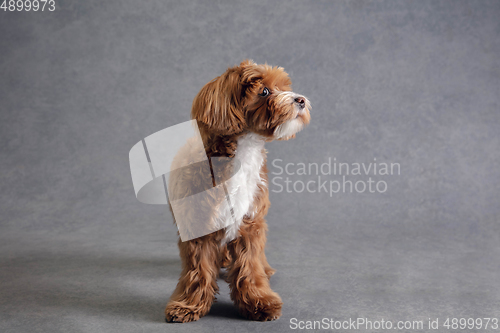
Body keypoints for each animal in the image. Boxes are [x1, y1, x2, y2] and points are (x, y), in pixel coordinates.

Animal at [166, 59, 310, 322]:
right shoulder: (197, 227)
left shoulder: (250, 223)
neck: (242, 152)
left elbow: (250, 266)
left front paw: (259, 302)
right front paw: (188, 305)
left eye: (283, 87)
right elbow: (197, 269)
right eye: (264, 91)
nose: (300, 100)